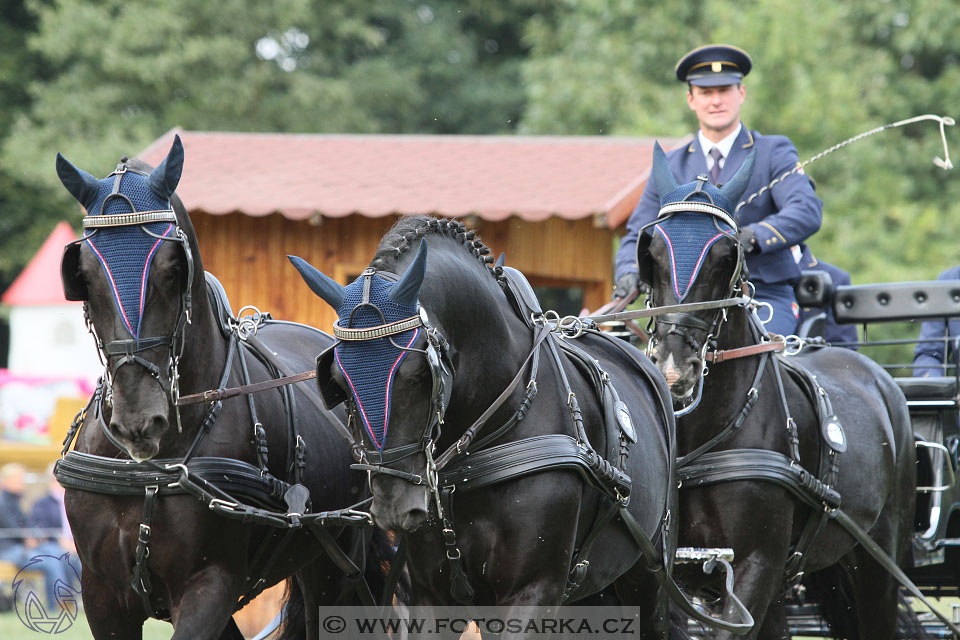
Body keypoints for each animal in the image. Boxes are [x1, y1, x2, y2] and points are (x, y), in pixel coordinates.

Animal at [53, 138, 378, 640]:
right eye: (84, 275)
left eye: (173, 268)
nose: (137, 421)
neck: (153, 470)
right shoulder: (103, 595)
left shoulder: (210, 584)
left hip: (336, 561)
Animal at [292, 218, 688, 636]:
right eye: (339, 379)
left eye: (419, 373)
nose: (394, 505)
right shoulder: (433, 596)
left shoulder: (532, 592)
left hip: (647, 577)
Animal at [632, 142, 920, 636]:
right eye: (650, 251)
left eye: (726, 256)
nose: (674, 369)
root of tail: (879, 378)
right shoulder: (665, 575)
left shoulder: (755, 565)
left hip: (877, 564)